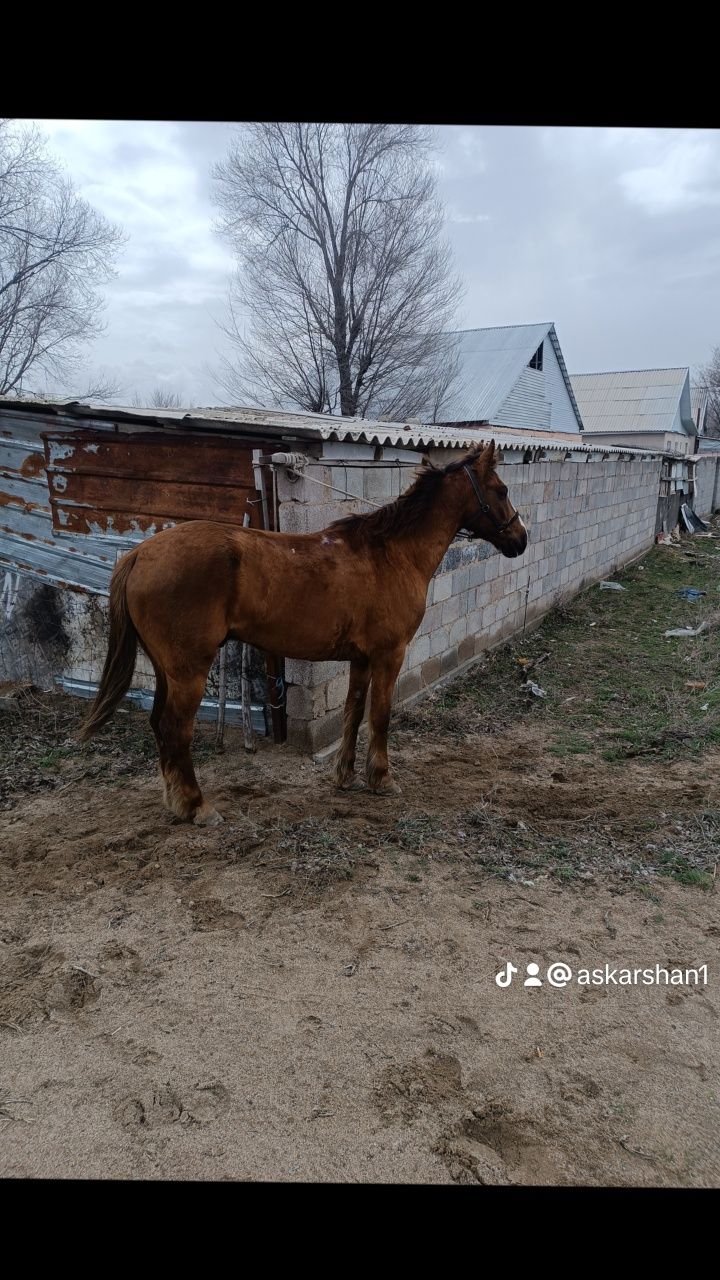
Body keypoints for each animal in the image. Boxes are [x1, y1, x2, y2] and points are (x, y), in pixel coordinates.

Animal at [79, 440, 527, 819]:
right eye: (501, 489)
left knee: (159, 726)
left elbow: (352, 713)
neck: (391, 554)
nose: (521, 539)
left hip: (165, 669)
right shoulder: (390, 654)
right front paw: (382, 779)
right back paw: (197, 807)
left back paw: (176, 801)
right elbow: (380, 716)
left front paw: (345, 777)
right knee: (175, 730)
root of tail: (139, 555)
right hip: (188, 671)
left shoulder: (361, 659)